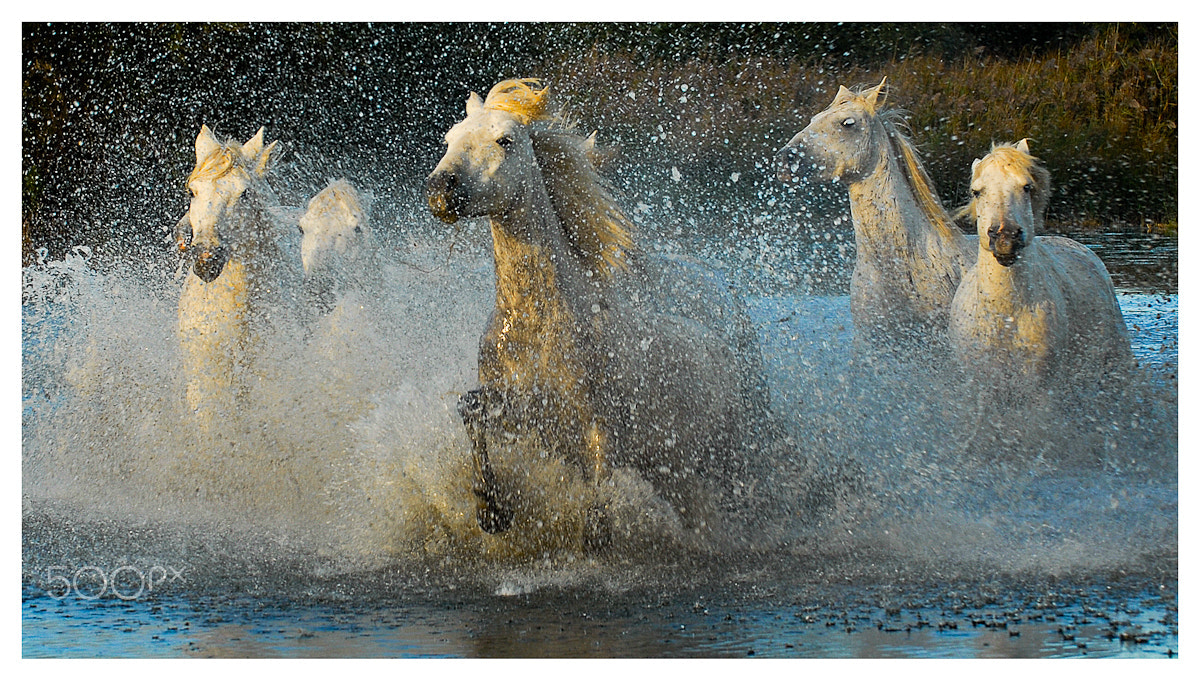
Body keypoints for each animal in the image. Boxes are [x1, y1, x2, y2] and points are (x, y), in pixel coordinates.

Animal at [426, 78, 773, 539]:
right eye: (449, 139)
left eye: (504, 140)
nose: (440, 190)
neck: (539, 325)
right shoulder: (525, 415)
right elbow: (470, 410)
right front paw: (491, 509)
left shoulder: (599, 434)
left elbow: (597, 511)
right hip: (674, 470)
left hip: (728, 456)